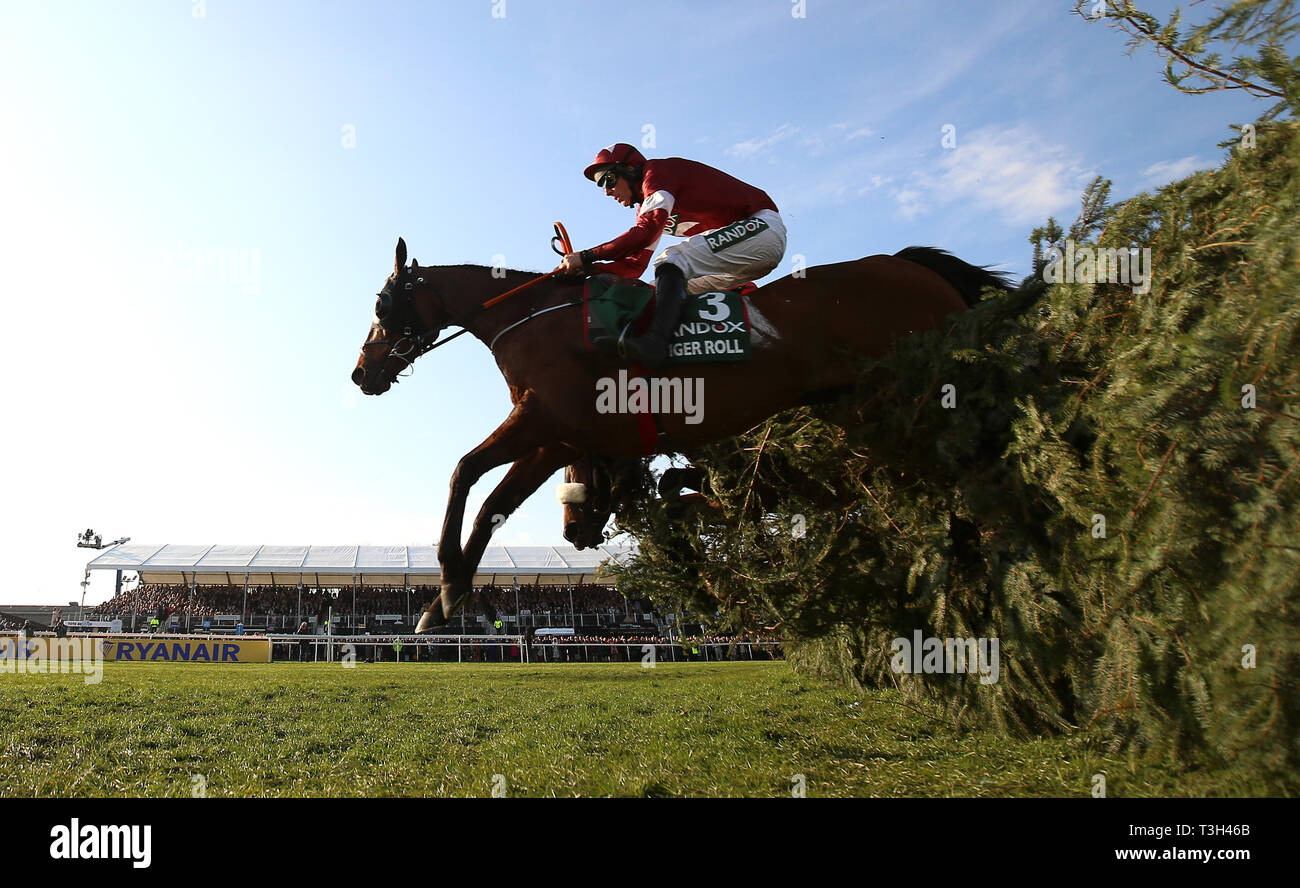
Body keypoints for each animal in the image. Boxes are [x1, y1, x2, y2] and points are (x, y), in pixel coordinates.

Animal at [351, 239, 1008, 634]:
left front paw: (446, 584)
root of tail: (909, 262)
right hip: (868, 413)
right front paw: (449, 596)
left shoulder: (546, 423)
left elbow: (466, 472)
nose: (362, 371)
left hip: (911, 398)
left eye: (382, 304)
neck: (529, 318)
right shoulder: (556, 435)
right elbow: (494, 501)